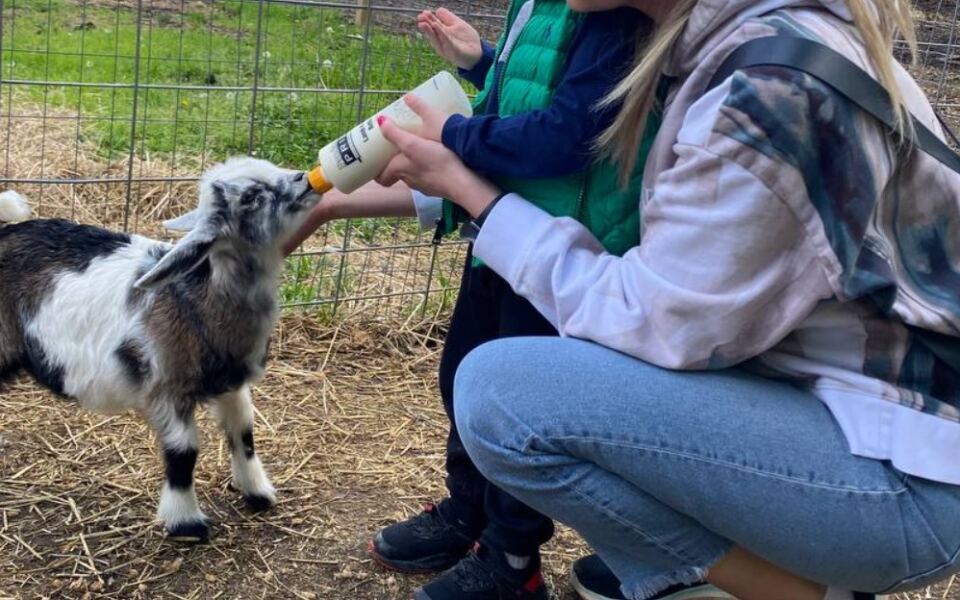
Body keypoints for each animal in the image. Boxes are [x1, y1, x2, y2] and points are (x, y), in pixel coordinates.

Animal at [0, 157, 323, 542]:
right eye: (250, 197)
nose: (305, 179)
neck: (196, 299)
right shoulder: (167, 384)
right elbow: (184, 452)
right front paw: (186, 522)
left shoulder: (228, 381)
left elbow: (244, 431)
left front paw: (257, 492)